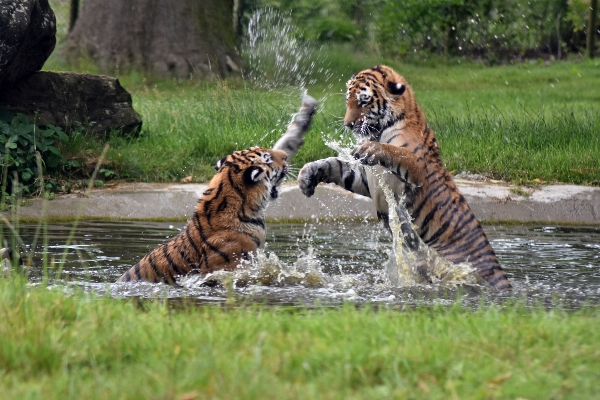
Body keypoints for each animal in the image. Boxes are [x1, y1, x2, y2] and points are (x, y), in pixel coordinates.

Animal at [298, 66, 510, 290]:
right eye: (348, 101)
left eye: (363, 101)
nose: (349, 124)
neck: (380, 131)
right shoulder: (363, 177)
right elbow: (334, 164)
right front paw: (307, 175)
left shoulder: (417, 169)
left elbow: (396, 152)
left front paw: (371, 148)